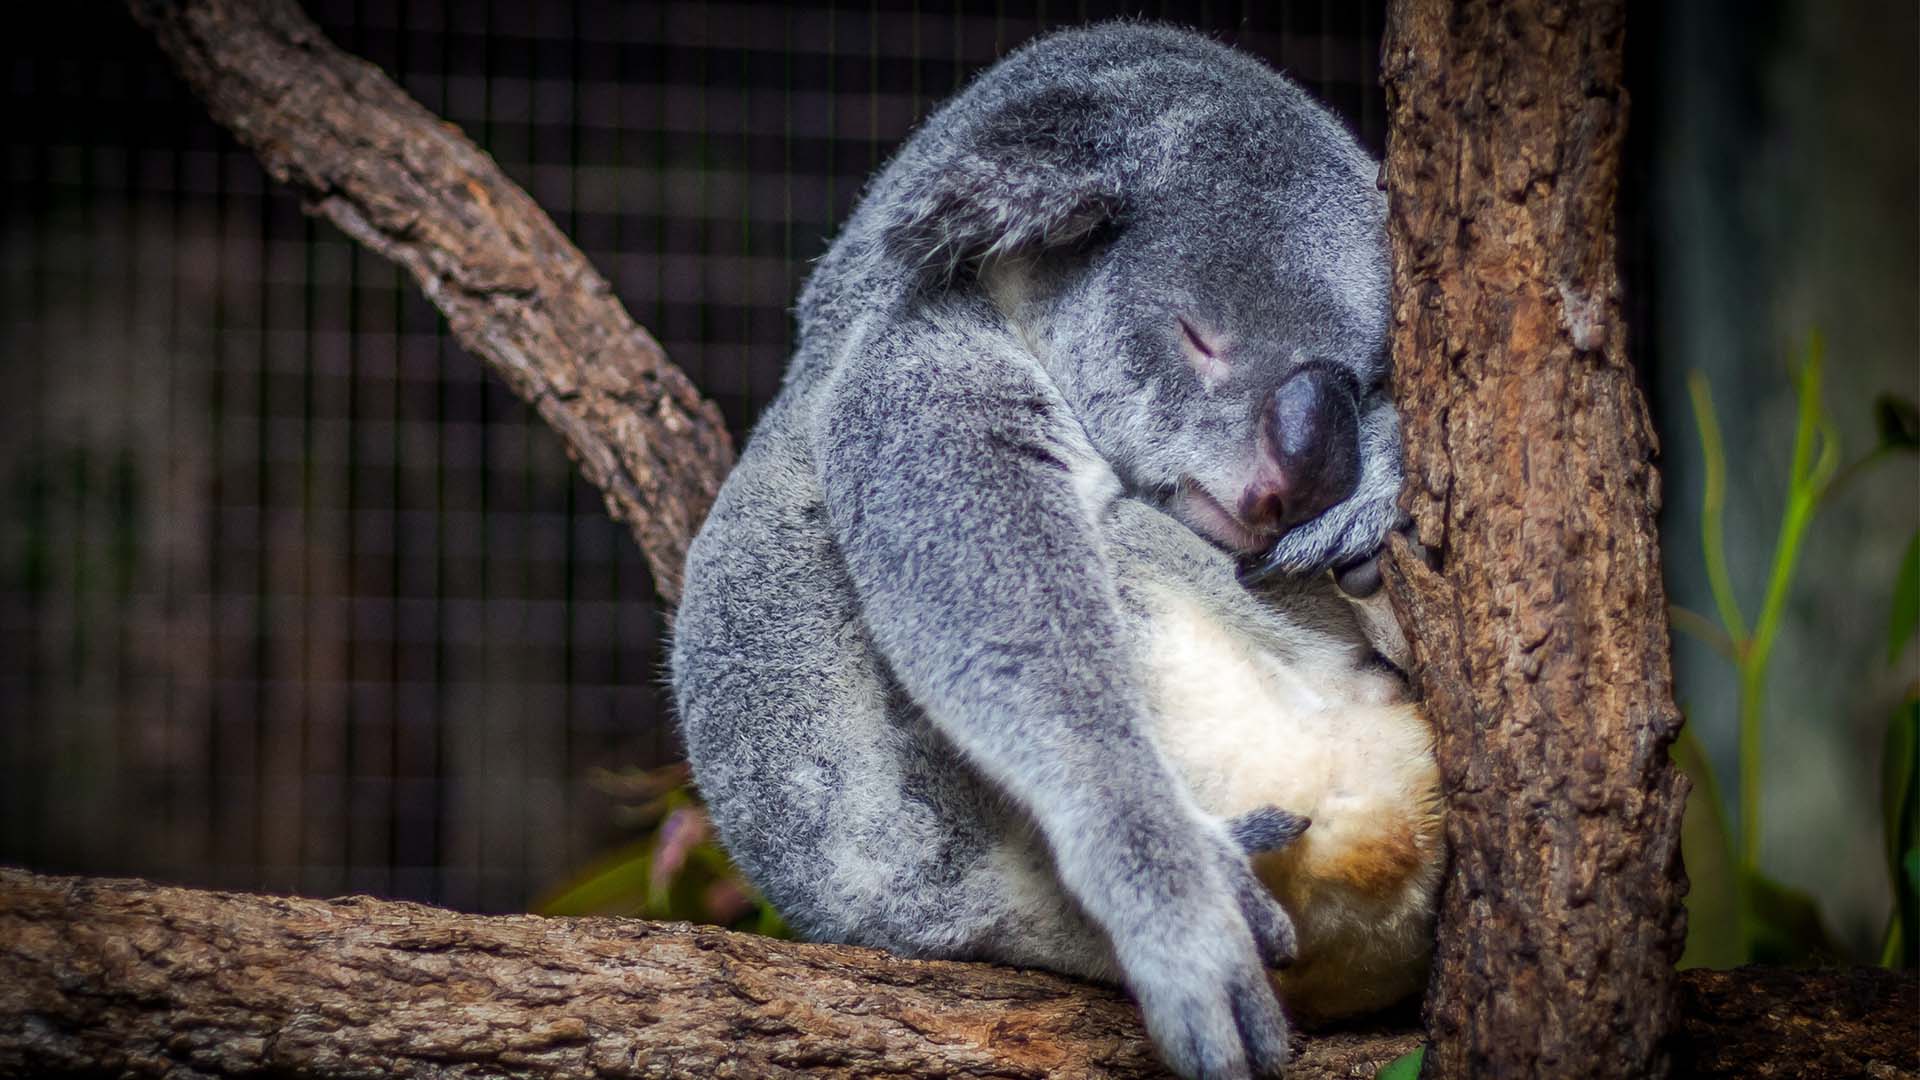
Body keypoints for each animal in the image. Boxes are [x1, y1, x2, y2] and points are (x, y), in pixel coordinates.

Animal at [670, 22, 1438, 1078]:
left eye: (1364, 379)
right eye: (1200, 338)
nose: (1295, 486)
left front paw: (1373, 488)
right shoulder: (921, 359)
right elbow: (1010, 618)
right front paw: (1179, 907)